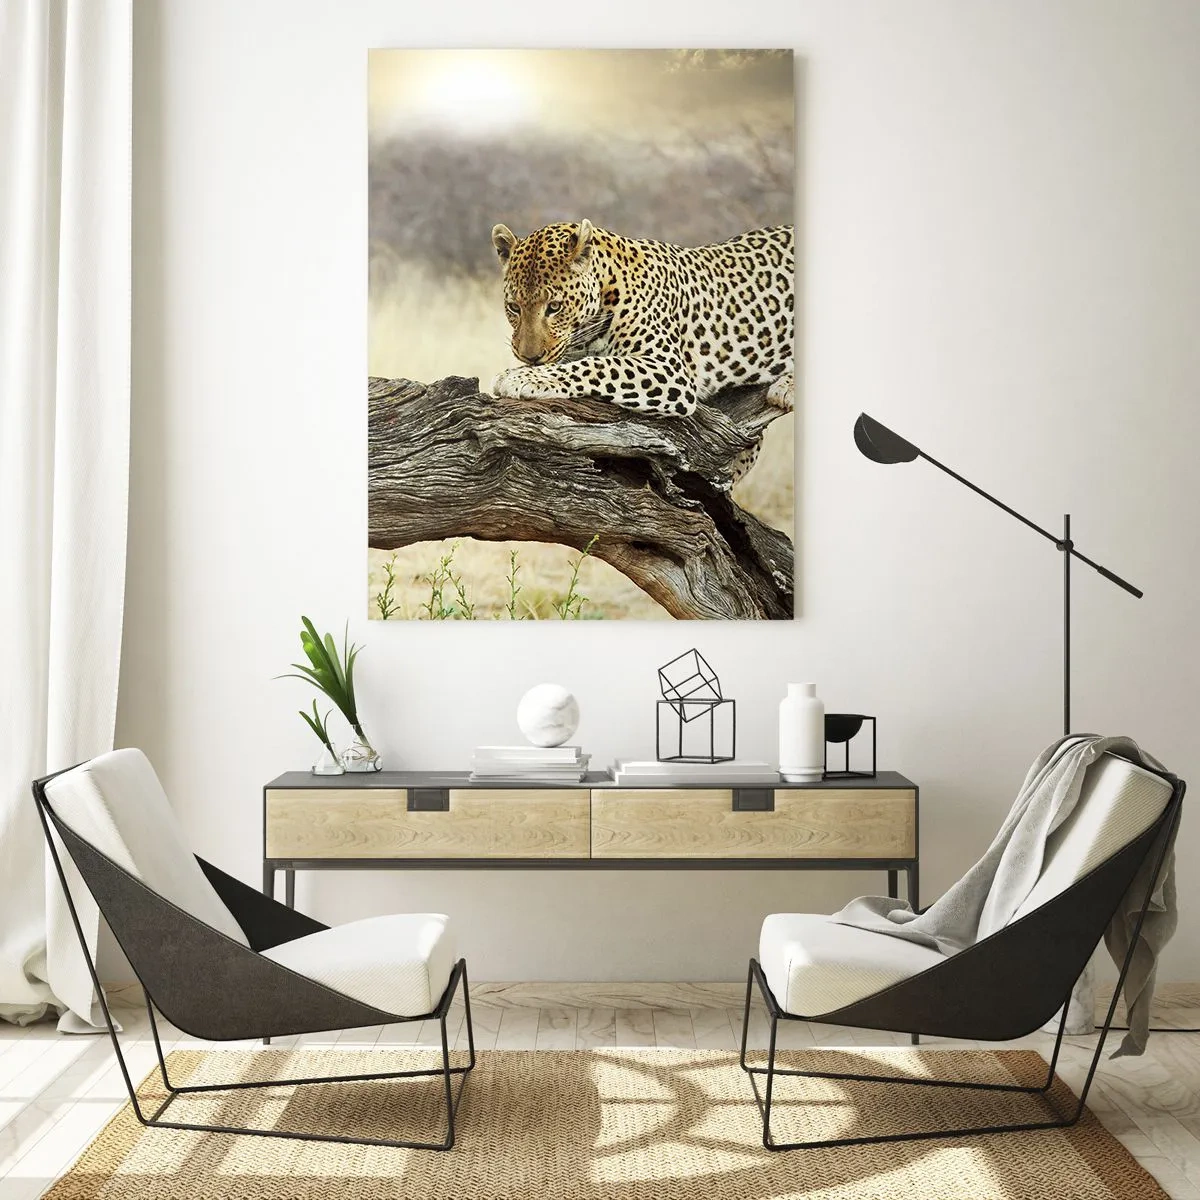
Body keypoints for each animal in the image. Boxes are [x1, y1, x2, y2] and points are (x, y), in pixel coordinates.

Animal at [489, 219, 794, 482]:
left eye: (554, 307)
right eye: (514, 307)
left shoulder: (669, 369)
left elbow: (598, 365)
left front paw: (520, 377)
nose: (529, 357)